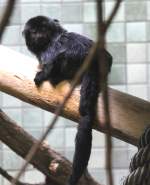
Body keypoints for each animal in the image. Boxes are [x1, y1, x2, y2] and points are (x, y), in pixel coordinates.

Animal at [22, 16, 112, 185]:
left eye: (43, 29)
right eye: (35, 31)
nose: (40, 35)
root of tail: (93, 63)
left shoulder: (48, 52)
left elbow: (50, 62)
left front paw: (43, 75)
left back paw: (53, 77)